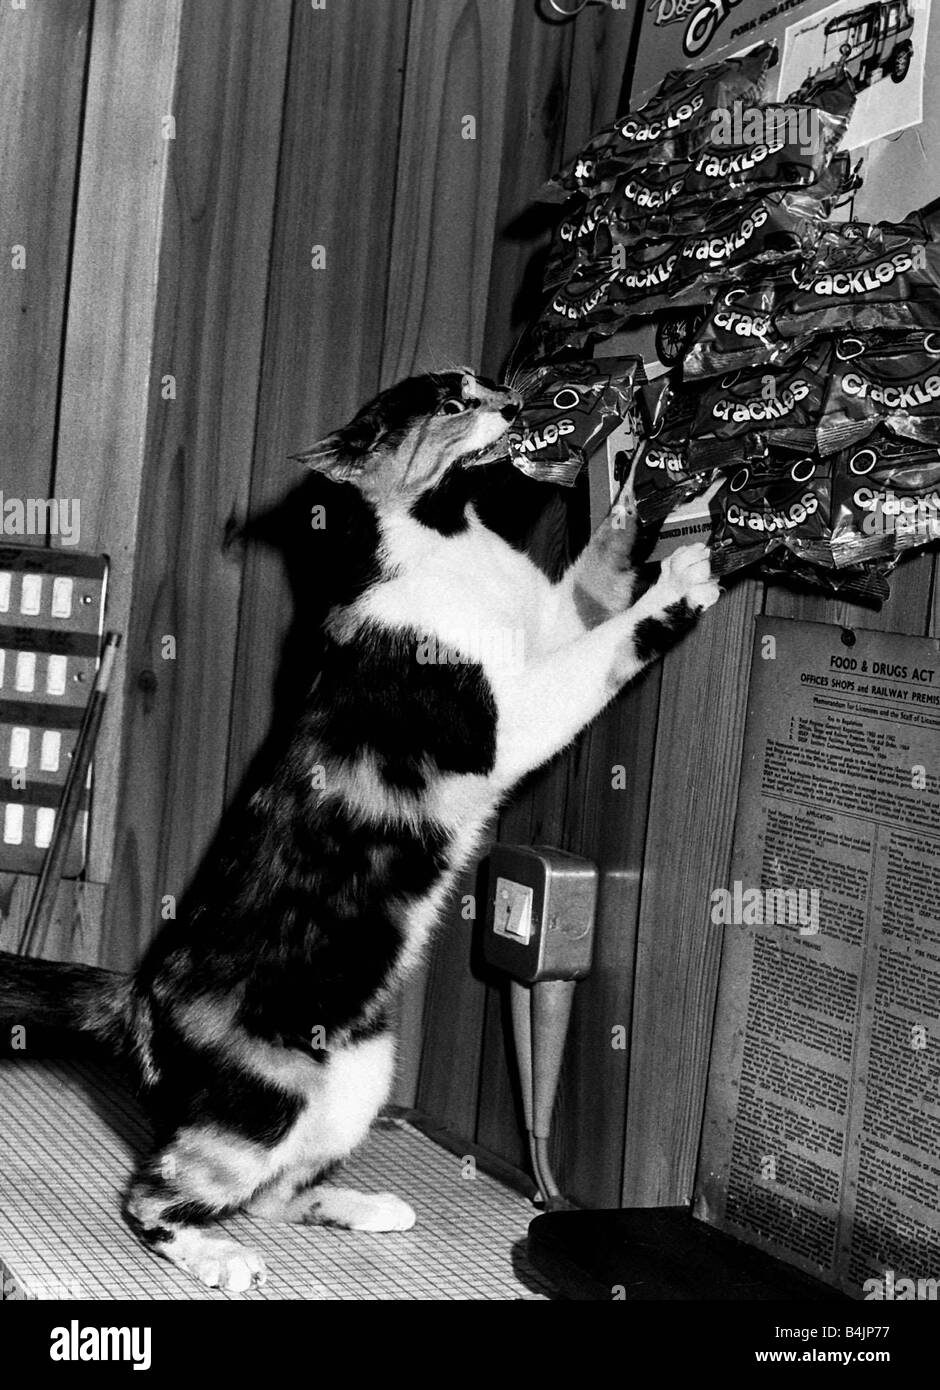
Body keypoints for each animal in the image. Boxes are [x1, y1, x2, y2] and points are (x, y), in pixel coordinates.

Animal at [0, 366, 717, 1289]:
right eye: (450, 403)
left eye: (485, 381)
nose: (514, 401)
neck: (452, 536)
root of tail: (137, 993)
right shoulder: (508, 716)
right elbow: (608, 649)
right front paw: (685, 580)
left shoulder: (552, 620)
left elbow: (596, 573)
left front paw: (639, 474)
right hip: (262, 1098)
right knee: (156, 1194)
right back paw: (223, 1261)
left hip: (357, 1075)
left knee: (271, 1192)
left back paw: (367, 1208)